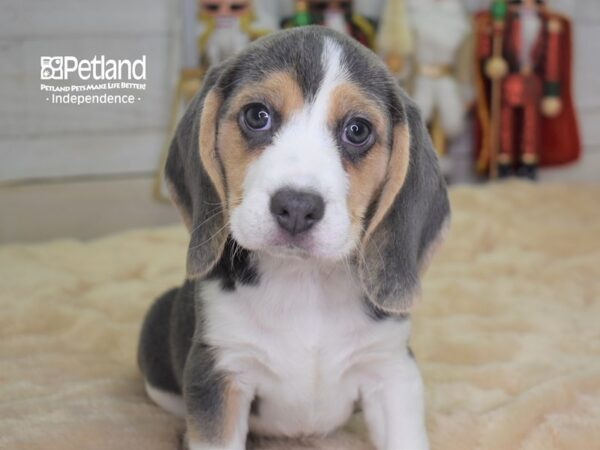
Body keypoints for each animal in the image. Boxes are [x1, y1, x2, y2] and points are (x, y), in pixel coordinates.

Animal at [139, 25, 450, 450]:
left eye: (357, 130)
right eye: (257, 115)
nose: (298, 207)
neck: (305, 282)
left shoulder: (391, 369)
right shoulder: (219, 371)